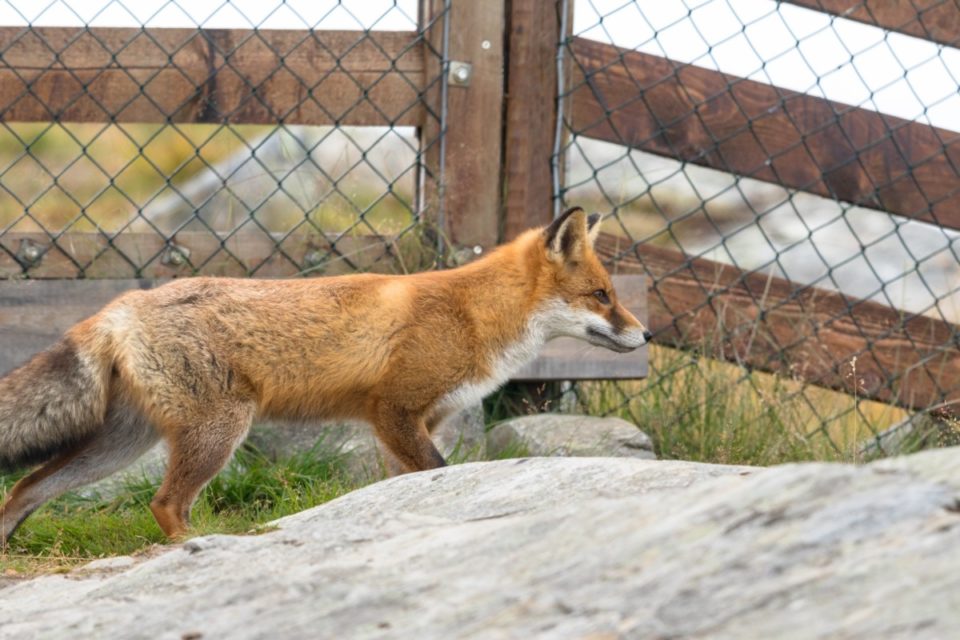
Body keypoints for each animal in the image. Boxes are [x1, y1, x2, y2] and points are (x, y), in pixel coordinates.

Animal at [0, 209, 652, 540]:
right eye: (602, 296)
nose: (646, 336)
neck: (471, 314)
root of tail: (121, 304)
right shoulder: (394, 410)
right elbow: (439, 471)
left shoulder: (412, 426)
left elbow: (412, 486)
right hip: (218, 431)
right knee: (164, 505)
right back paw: (198, 547)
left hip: (121, 445)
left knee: (26, 487)